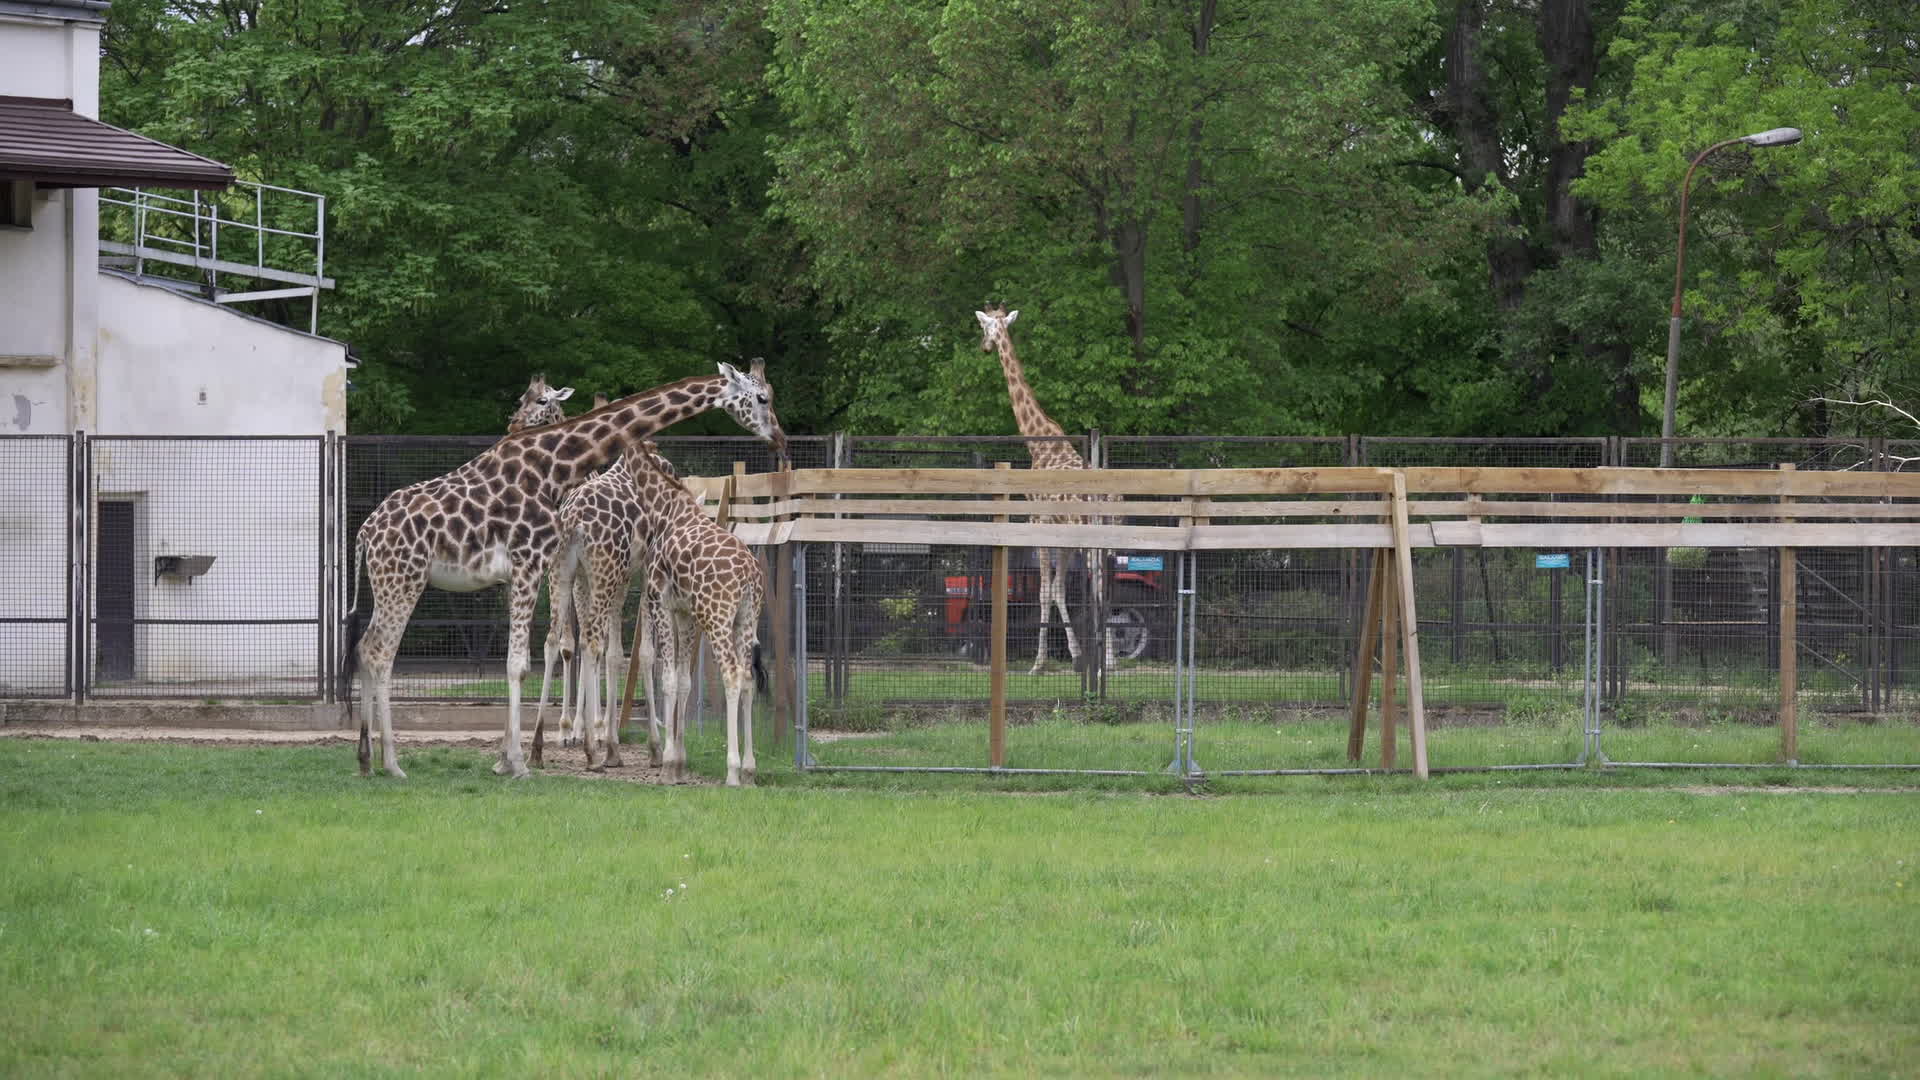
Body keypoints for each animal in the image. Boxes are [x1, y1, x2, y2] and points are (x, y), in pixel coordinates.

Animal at [344, 361, 786, 780]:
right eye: (762, 397)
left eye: (535, 399)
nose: (780, 438)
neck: (554, 467)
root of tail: (365, 533)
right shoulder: (530, 563)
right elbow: (525, 662)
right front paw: (522, 762)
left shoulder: (529, 572)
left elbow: (545, 652)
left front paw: (509, 758)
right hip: (404, 580)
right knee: (381, 653)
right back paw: (392, 764)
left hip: (391, 583)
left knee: (365, 648)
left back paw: (366, 758)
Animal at [974, 305, 1112, 675]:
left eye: (984, 327)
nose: (984, 347)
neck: (1038, 442)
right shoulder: (1061, 534)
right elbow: (1060, 590)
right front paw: (1075, 656)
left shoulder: (1038, 520)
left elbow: (1044, 592)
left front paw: (1039, 663)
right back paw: (1107, 660)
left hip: (1091, 539)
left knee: (1099, 587)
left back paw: (1105, 663)